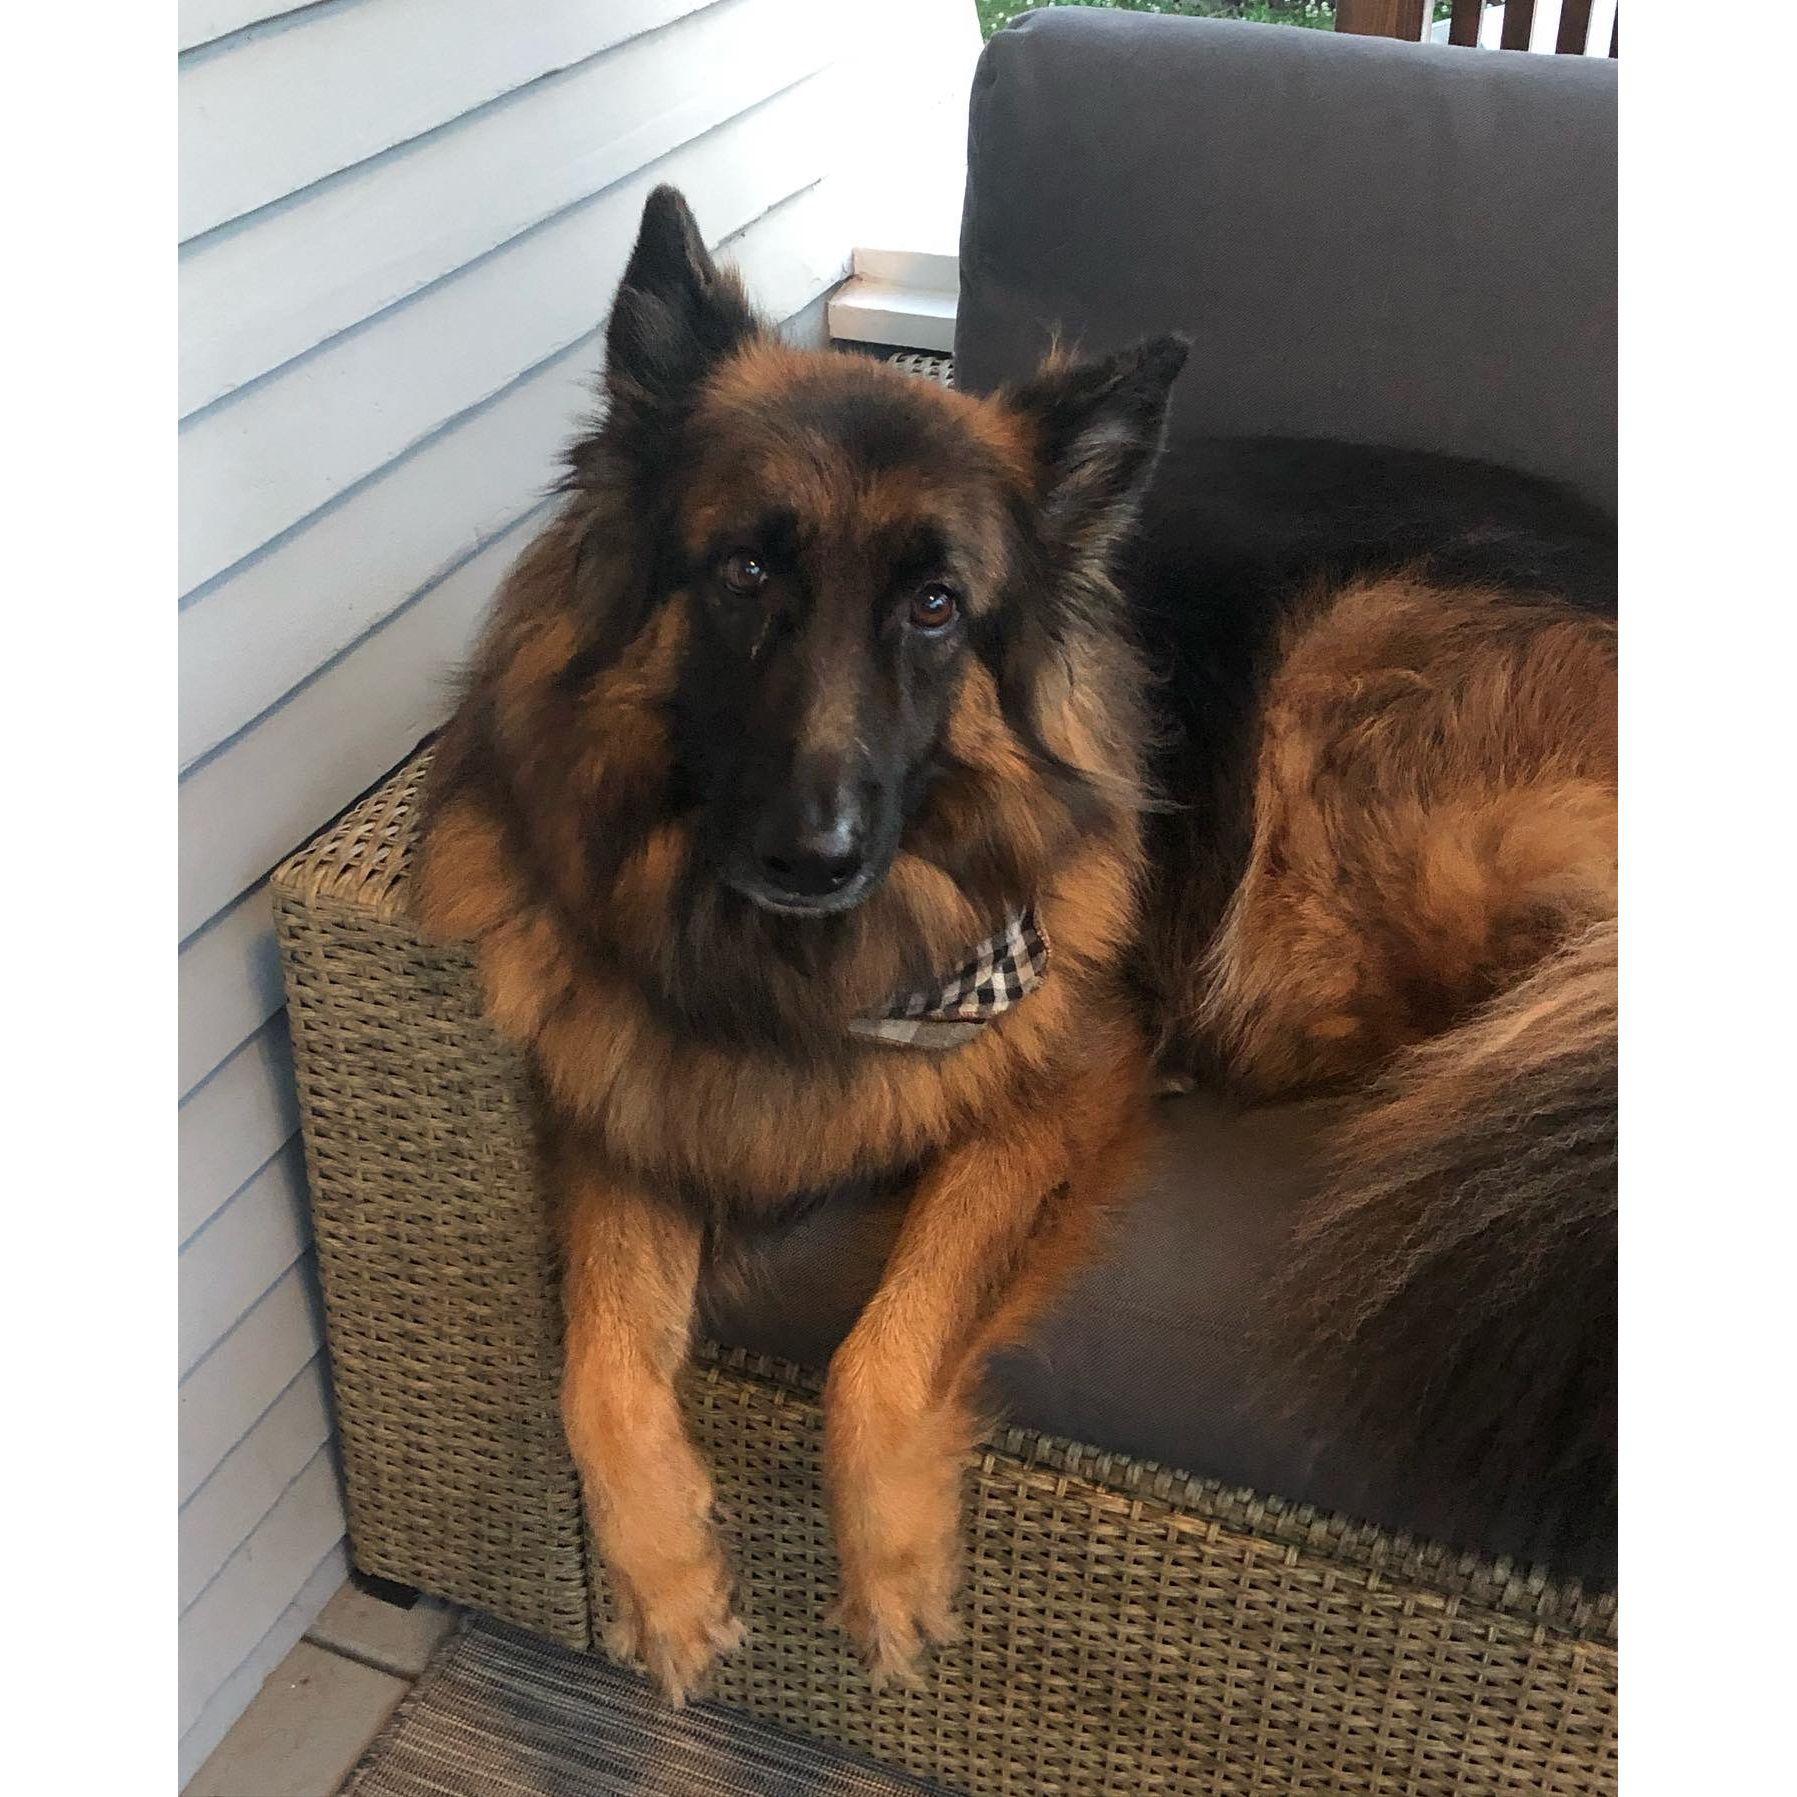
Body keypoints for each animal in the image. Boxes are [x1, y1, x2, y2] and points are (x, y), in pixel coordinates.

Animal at [416, 189, 1617, 1703]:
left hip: (1352, 738)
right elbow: (598, 1370)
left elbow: (880, 1351)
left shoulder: (1054, 1086)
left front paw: (890, 1572)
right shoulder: (626, 1099)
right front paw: (666, 1583)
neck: (808, 970)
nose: (813, 856)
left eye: (936, 607)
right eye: (744, 571)